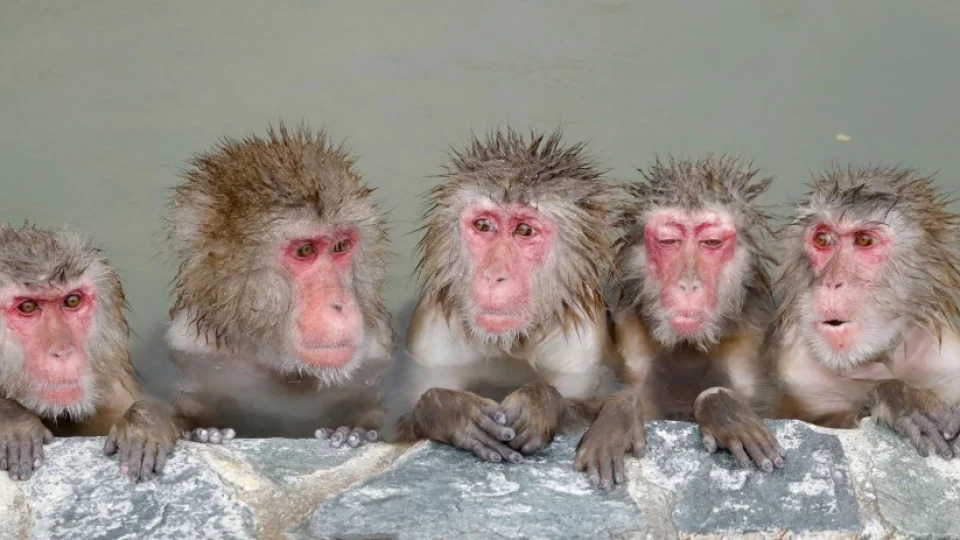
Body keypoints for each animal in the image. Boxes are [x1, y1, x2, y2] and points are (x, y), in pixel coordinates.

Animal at [163, 122, 394, 448]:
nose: (338, 305)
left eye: (340, 246)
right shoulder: (186, 345)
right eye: (305, 251)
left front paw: (355, 432)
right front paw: (202, 432)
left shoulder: (378, 349)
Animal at [393, 128, 622, 464]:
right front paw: (450, 411)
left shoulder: (584, 345)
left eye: (524, 230)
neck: (510, 342)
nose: (494, 275)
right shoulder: (430, 334)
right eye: (483, 225)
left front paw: (539, 404)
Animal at [574, 154, 785, 490]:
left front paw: (722, 409)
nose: (688, 284)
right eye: (669, 241)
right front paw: (619, 413)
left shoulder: (751, 342)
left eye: (711, 242)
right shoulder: (627, 336)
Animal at [774, 166, 960, 459]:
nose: (832, 282)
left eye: (864, 240)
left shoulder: (948, 362)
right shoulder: (792, 369)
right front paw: (899, 397)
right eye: (822, 239)